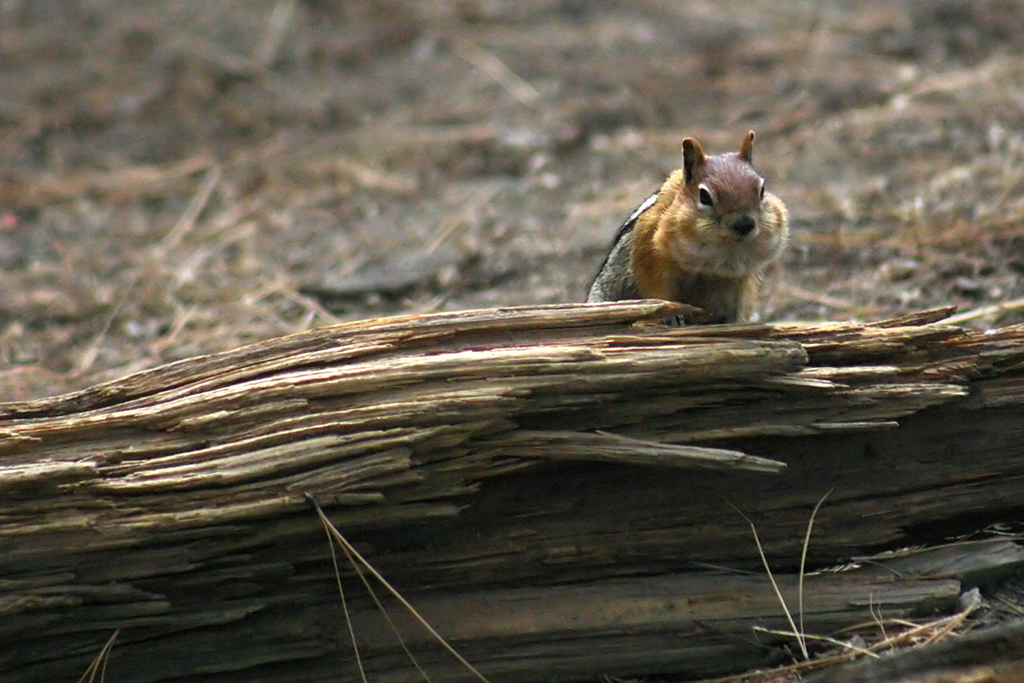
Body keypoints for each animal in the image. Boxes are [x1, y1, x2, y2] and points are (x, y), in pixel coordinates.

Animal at [585, 133, 790, 325]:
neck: (725, 248)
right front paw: (671, 314)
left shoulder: (741, 280)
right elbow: (656, 290)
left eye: (762, 190)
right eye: (704, 196)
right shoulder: (649, 254)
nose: (744, 224)